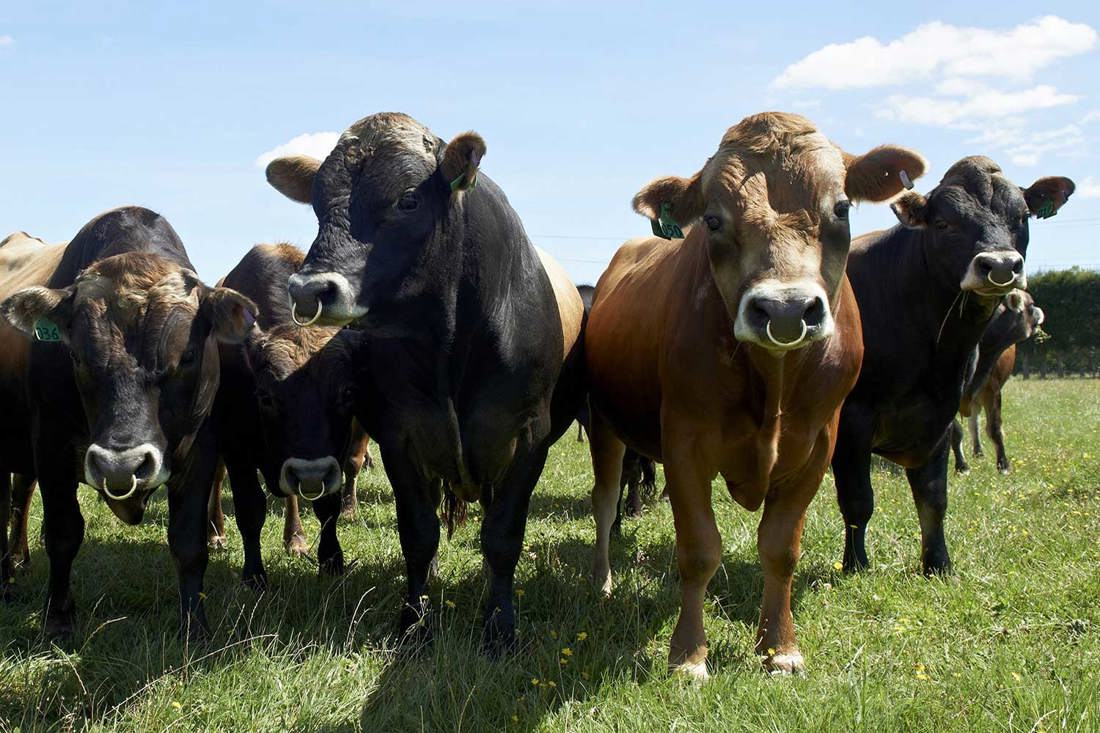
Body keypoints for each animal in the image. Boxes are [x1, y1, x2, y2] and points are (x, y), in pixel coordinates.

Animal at [0, 207, 256, 637]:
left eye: (187, 355)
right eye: (77, 356)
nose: (121, 465)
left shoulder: (201, 446)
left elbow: (189, 542)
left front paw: (195, 626)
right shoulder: (51, 443)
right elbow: (63, 532)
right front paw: (59, 618)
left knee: (18, 499)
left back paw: (17, 561)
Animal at [208, 243, 371, 585]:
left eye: (347, 393)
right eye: (265, 395)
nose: (309, 473)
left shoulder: (333, 452)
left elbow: (327, 506)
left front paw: (331, 560)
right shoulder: (235, 444)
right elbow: (249, 508)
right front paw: (254, 575)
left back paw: (295, 538)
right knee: (216, 478)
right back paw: (215, 532)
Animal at [264, 112, 587, 653]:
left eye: (408, 199)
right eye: (317, 203)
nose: (309, 290)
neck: (450, 348)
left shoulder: (529, 438)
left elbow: (503, 536)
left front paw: (500, 625)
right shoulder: (402, 437)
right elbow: (417, 533)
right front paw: (414, 622)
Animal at [585, 111, 925, 678]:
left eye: (841, 207)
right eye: (713, 221)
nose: (786, 309)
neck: (775, 380)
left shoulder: (818, 444)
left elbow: (781, 549)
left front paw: (779, 648)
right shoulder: (684, 443)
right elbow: (699, 549)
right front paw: (689, 656)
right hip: (605, 426)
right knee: (606, 502)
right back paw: (603, 580)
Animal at [950, 290, 1045, 473]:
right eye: (1031, 304)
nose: (1039, 310)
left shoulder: (992, 389)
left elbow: (994, 428)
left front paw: (1003, 465)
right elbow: (955, 430)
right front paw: (962, 466)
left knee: (975, 422)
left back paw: (979, 453)